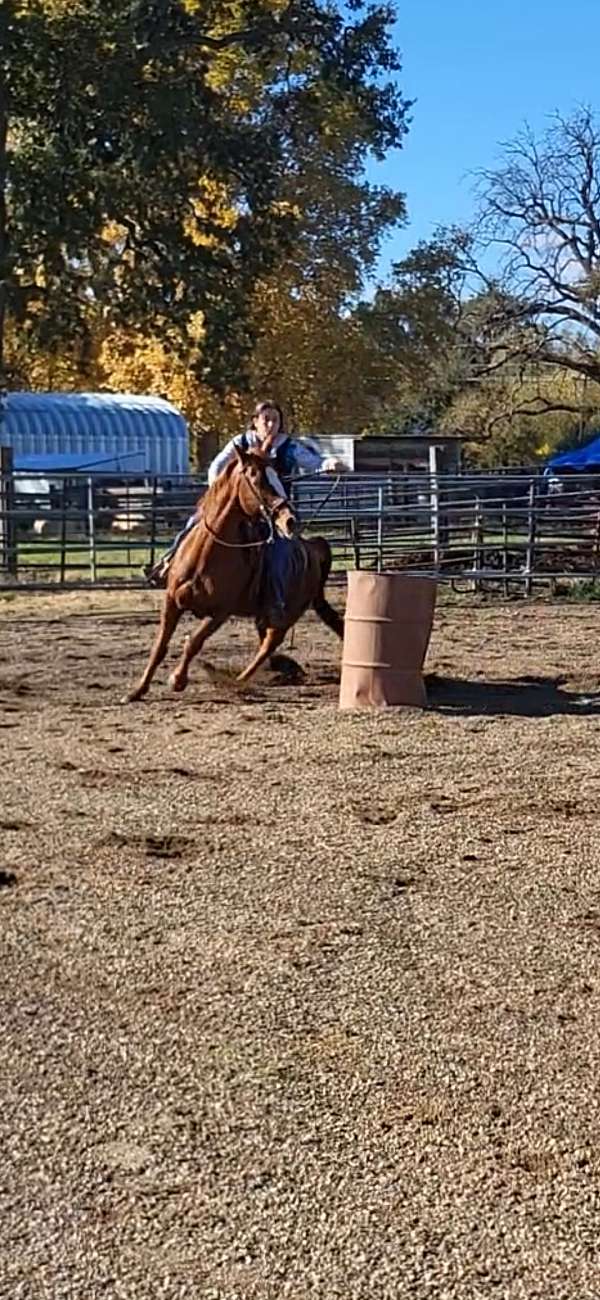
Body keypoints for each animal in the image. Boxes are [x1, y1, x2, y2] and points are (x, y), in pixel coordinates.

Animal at [122, 444, 342, 702]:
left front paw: (177, 679)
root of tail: (314, 547)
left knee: (270, 643)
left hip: (288, 614)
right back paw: (276, 669)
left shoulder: (220, 612)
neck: (205, 555)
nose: (290, 520)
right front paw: (137, 690)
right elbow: (160, 645)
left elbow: (194, 642)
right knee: (266, 642)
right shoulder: (172, 601)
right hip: (264, 614)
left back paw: (238, 680)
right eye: (256, 478)